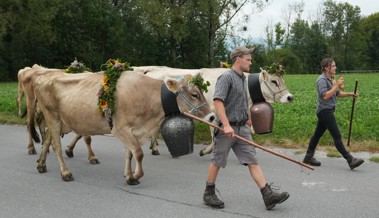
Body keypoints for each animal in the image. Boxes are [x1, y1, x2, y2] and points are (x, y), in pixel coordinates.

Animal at [33, 71, 215, 184]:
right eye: (194, 94)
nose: (212, 117)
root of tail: (45, 77)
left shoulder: (135, 131)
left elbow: (130, 154)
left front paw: (129, 175)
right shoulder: (120, 128)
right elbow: (139, 153)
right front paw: (135, 176)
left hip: (63, 121)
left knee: (48, 139)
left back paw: (41, 164)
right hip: (52, 116)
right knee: (55, 144)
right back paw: (65, 173)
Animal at [134, 65, 296, 156]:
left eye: (284, 79)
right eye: (274, 81)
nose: (290, 97)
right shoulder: (214, 112)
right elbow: (214, 134)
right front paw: (207, 151)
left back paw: (153, 147)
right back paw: (153, 148)